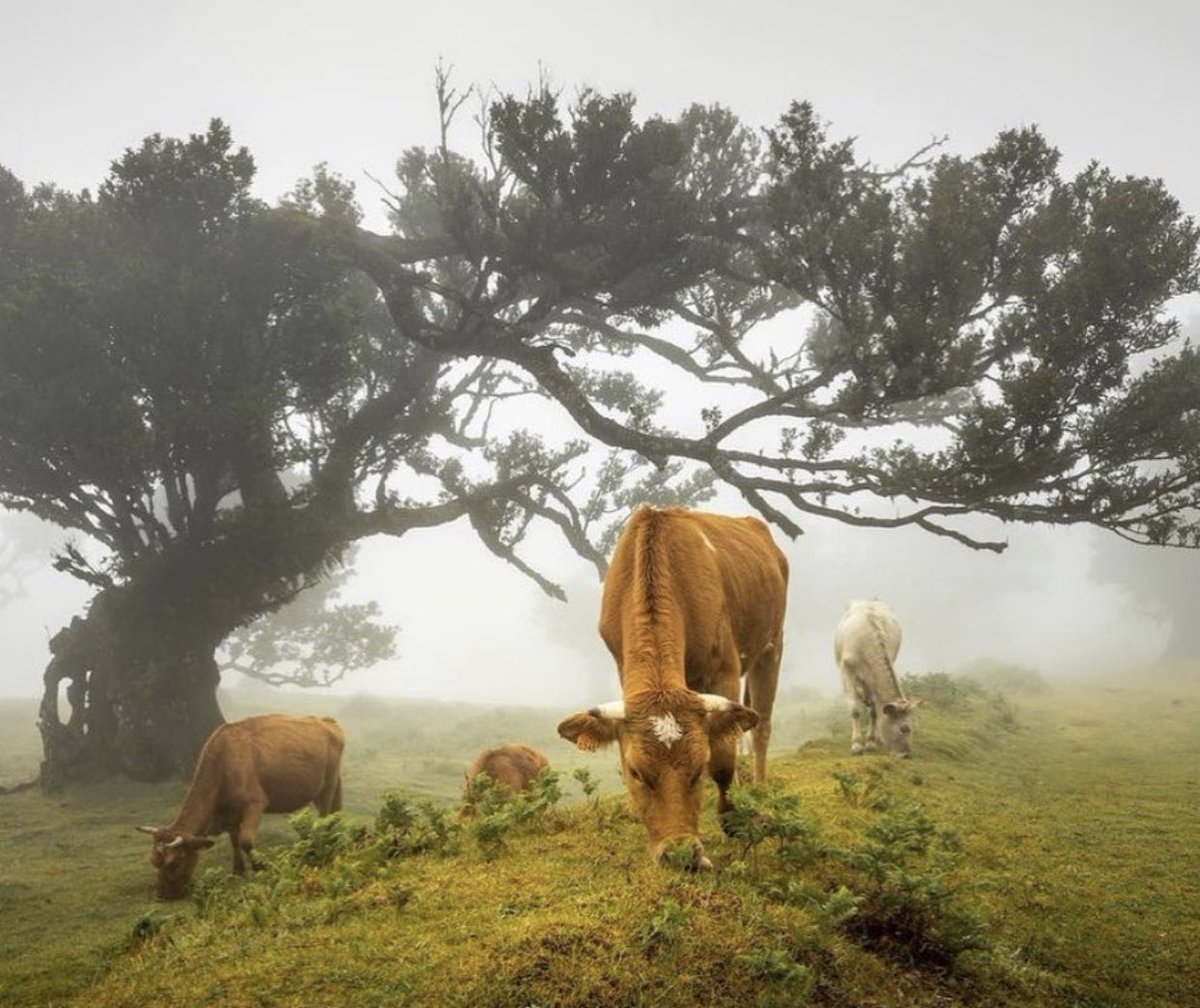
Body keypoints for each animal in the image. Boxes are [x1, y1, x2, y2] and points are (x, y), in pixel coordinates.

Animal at [136, 713, 345, 900]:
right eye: (153, 861)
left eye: (175, 863)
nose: (162, 896)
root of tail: (327, 721)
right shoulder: (230, 813)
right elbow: (235, 840)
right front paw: (238, 870)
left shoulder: (255, 804)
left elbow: (245, 840)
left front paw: (260, 867)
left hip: (327, 785)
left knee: (325, 816)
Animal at [558, 505, 788, 869]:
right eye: (636, 772)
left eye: (697, 770)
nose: (680, 854)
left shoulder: (724, 670)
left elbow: (723, 758)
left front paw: (733, 818)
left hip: (771, 644)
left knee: (761, 725)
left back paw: (761, 796)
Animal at [834, 599, 922, 757]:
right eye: (904, 729)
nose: (906, 755)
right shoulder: (847, 672)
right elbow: (855, 710)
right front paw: (857, 745)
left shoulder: (873, 681)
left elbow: (874, 712)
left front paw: (871, 742)